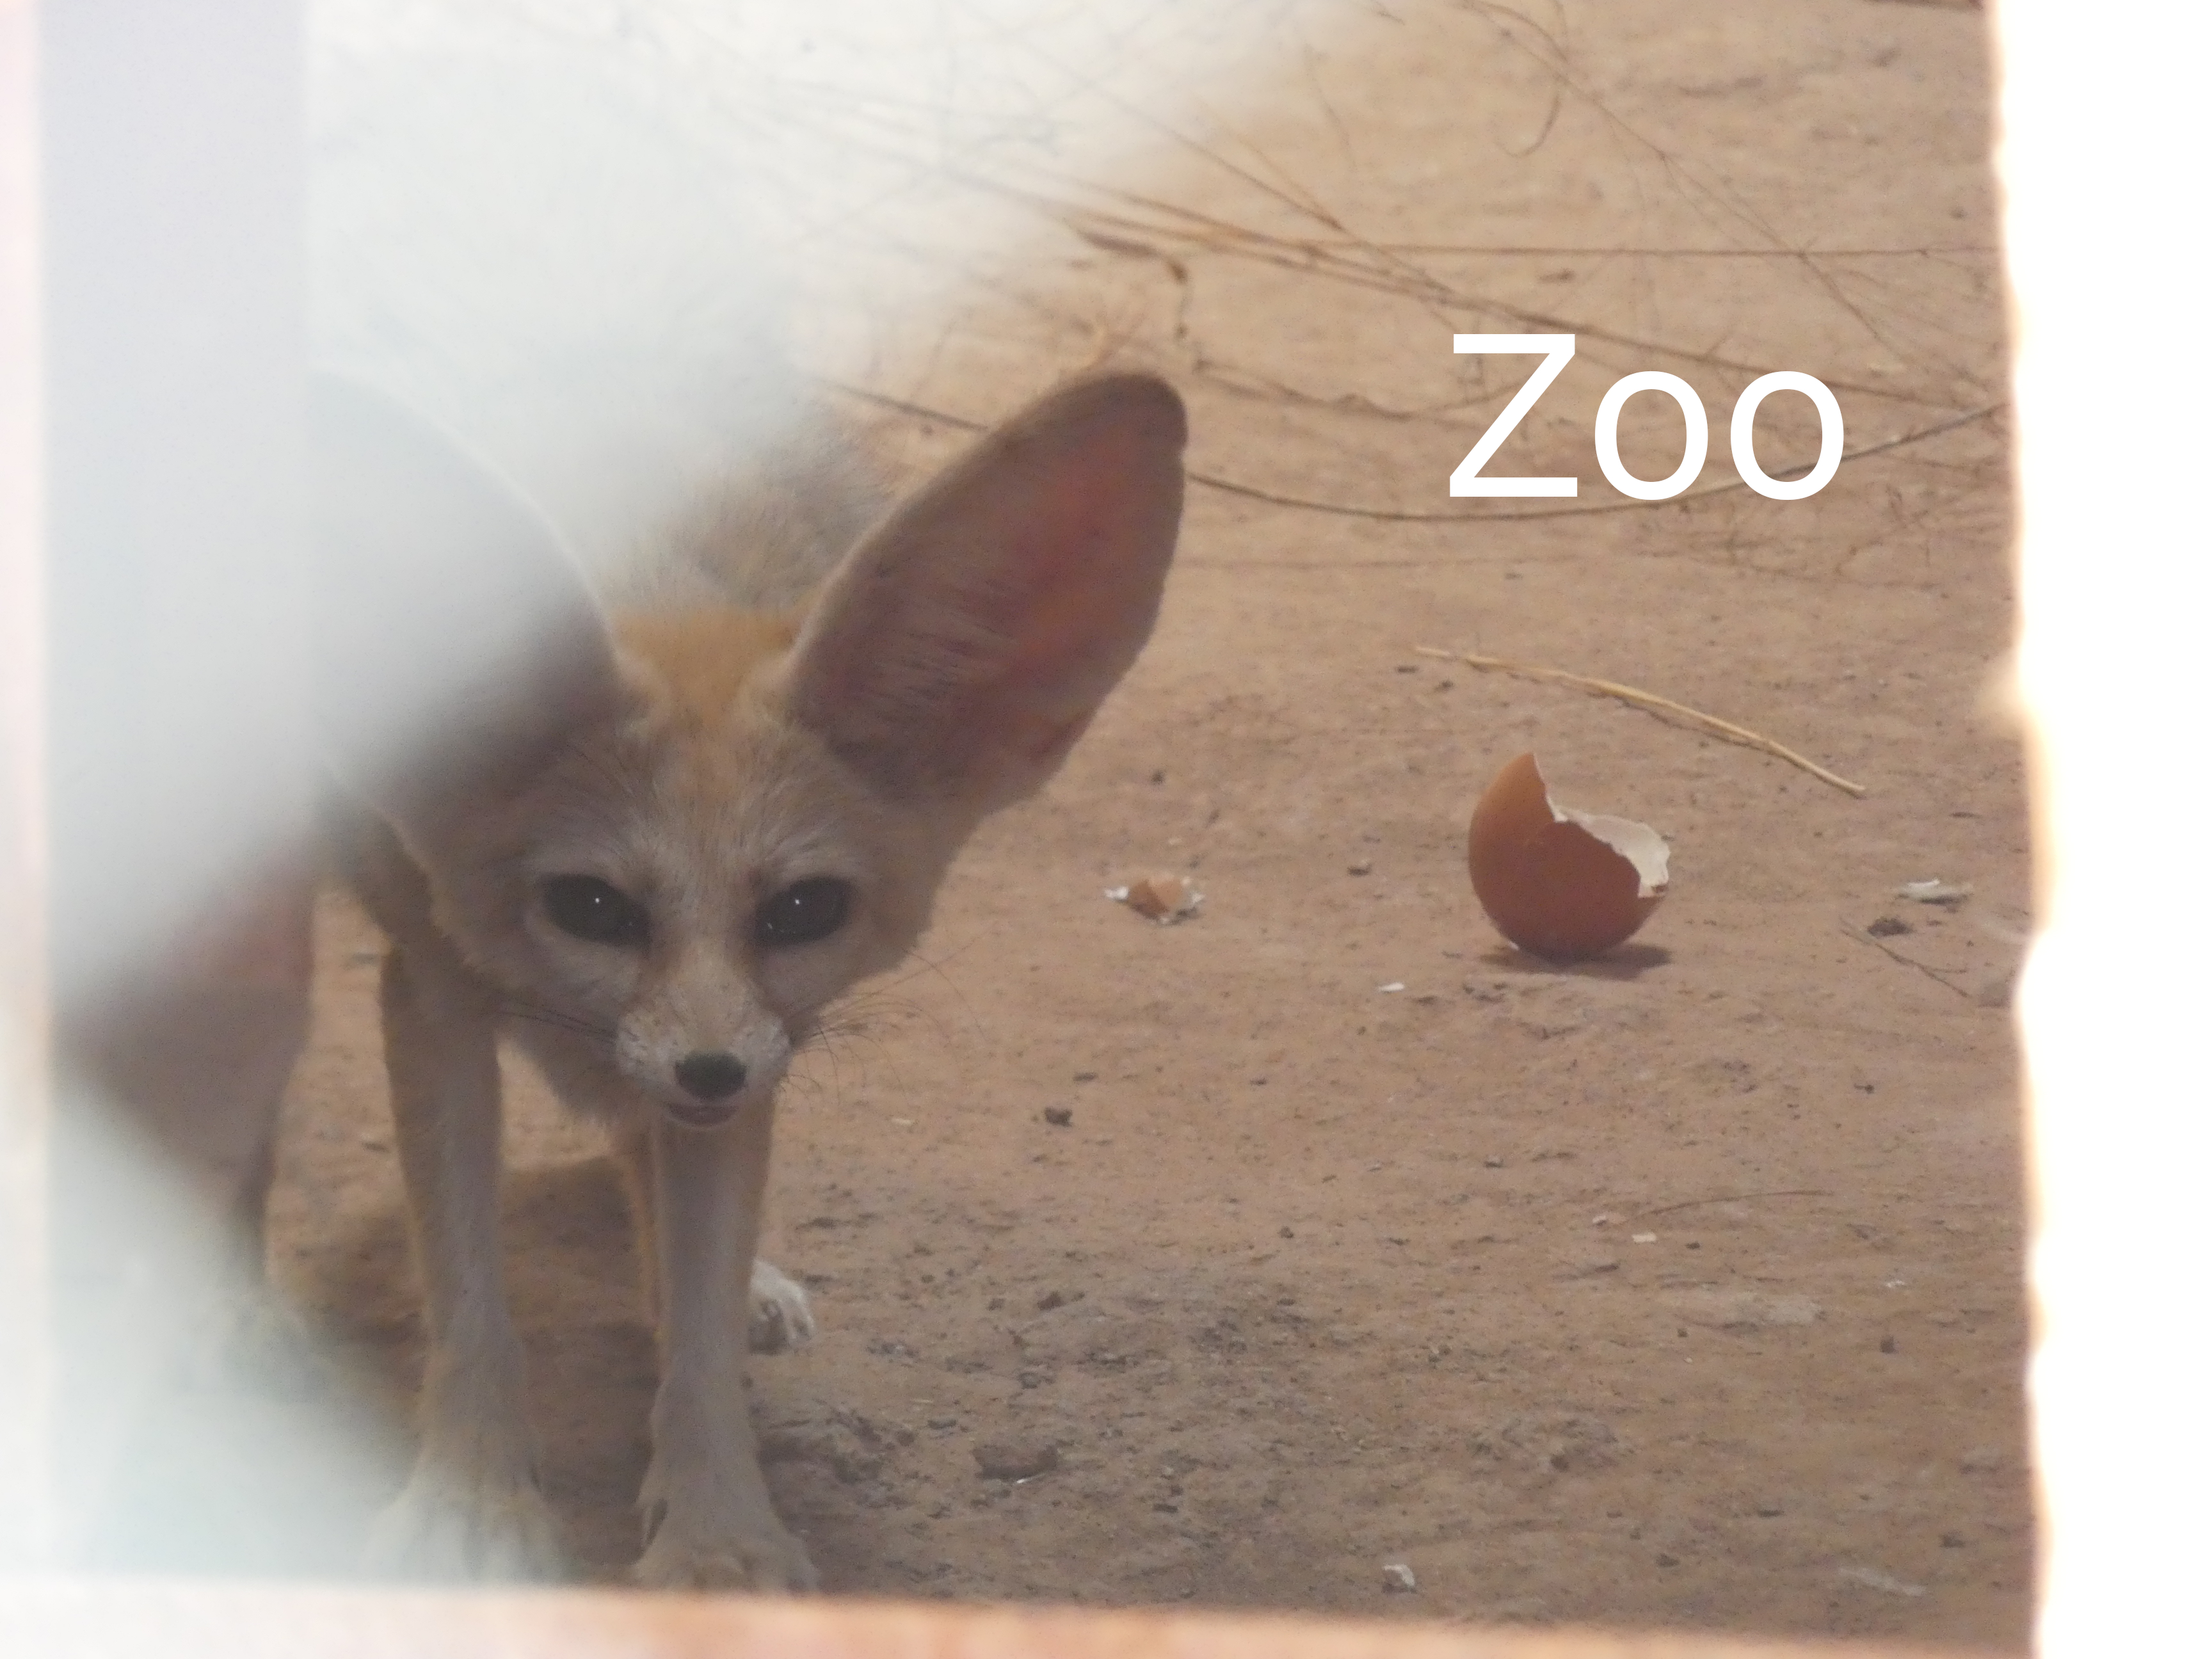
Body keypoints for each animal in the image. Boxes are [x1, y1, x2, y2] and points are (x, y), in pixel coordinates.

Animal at [308, 366, 1187, 1589]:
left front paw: (718, 1530)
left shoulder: (757, 1056)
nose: (709, 1071)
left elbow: (702, 1318)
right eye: (591, 907)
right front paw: (471, 1500)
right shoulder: (431, 986)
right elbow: (467, 1294)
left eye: (802, 910)